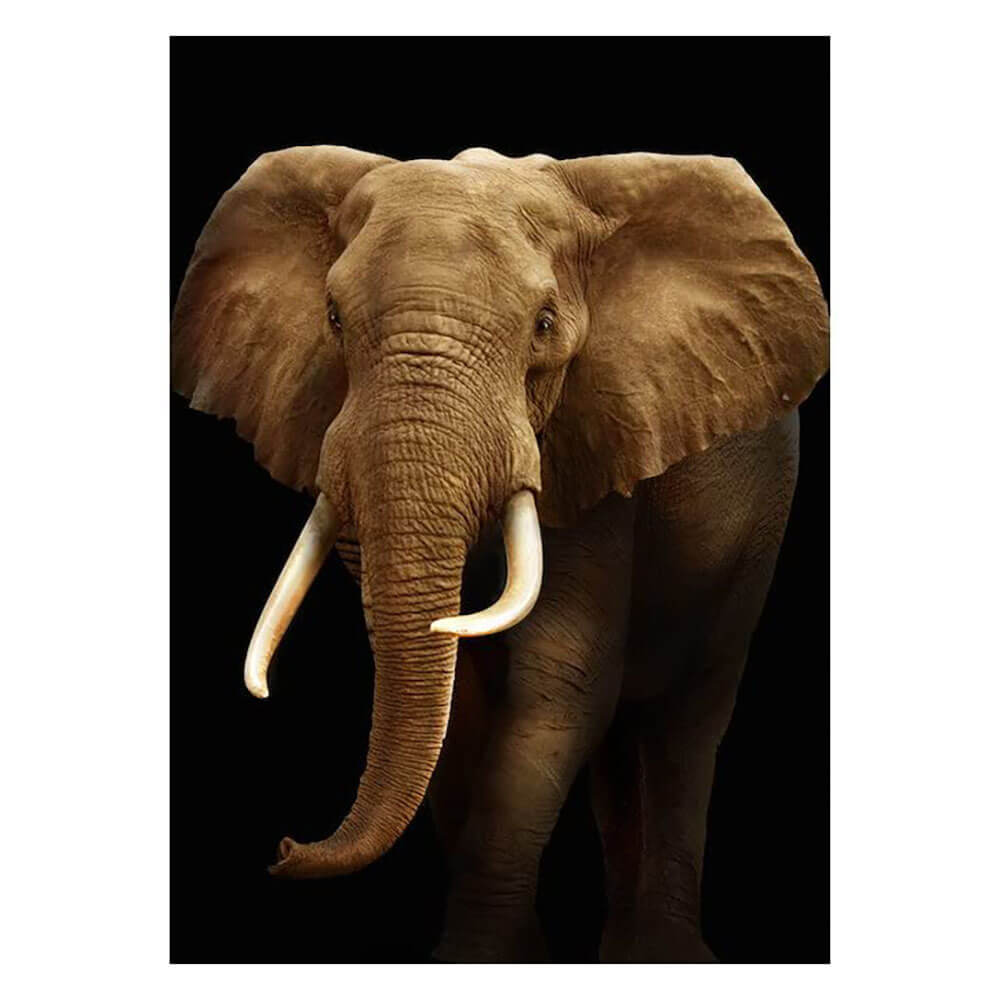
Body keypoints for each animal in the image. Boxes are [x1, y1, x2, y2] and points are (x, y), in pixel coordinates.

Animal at [171, 144, 829, 962]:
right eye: (331, 318)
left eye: (544, 325)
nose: (286, 848)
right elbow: (466, 712)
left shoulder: (597, 436)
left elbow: (561, 684)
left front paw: (479, 954)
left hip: (757, 531)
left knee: (686, 718)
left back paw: (664, 952)